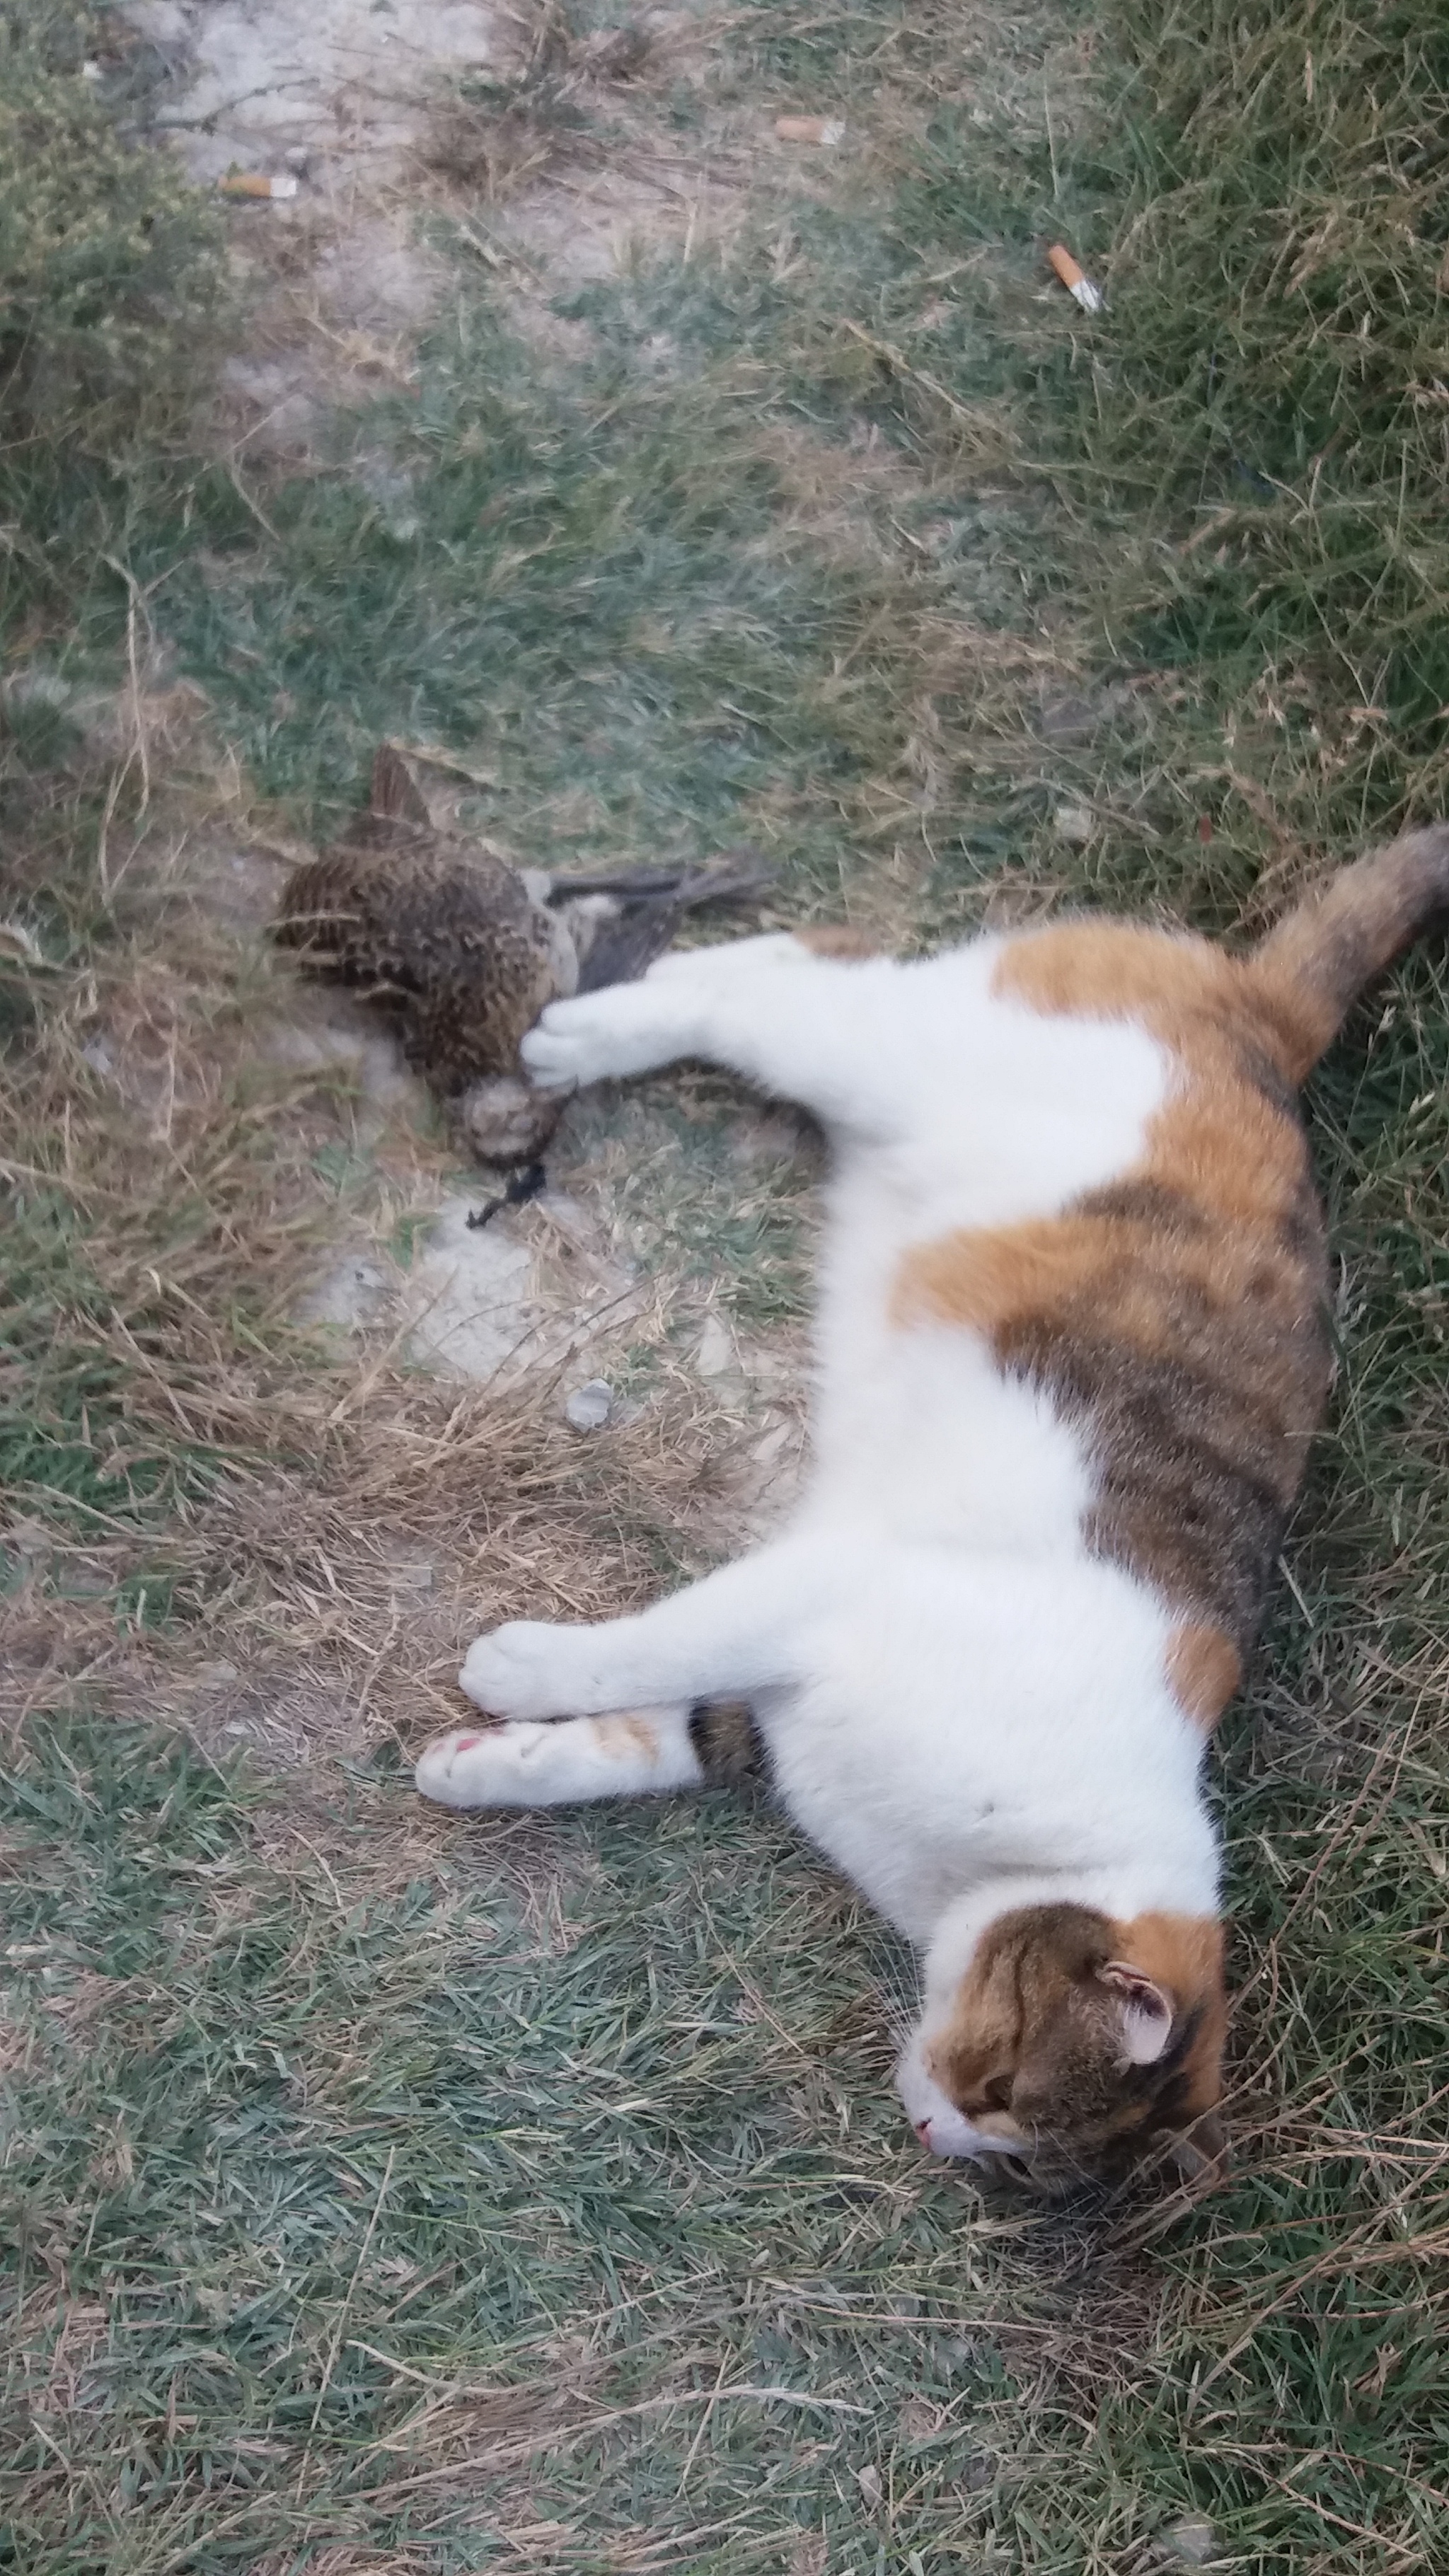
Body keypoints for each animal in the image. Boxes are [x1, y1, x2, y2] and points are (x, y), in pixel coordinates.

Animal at [410, 824, 1443, 2195]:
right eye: (1002, 2088)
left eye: (1019, 2156)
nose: (934, 2129)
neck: (1007, 1863)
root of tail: (1264, 1022)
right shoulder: (824, 1588)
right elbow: (648, 1643)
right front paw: (518, 1667)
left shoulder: (767, 1704)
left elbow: (639, 1736)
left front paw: (484, 1766)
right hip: (896, 1057)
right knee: (779, 999)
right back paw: (579, 1035)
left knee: (802, 964)